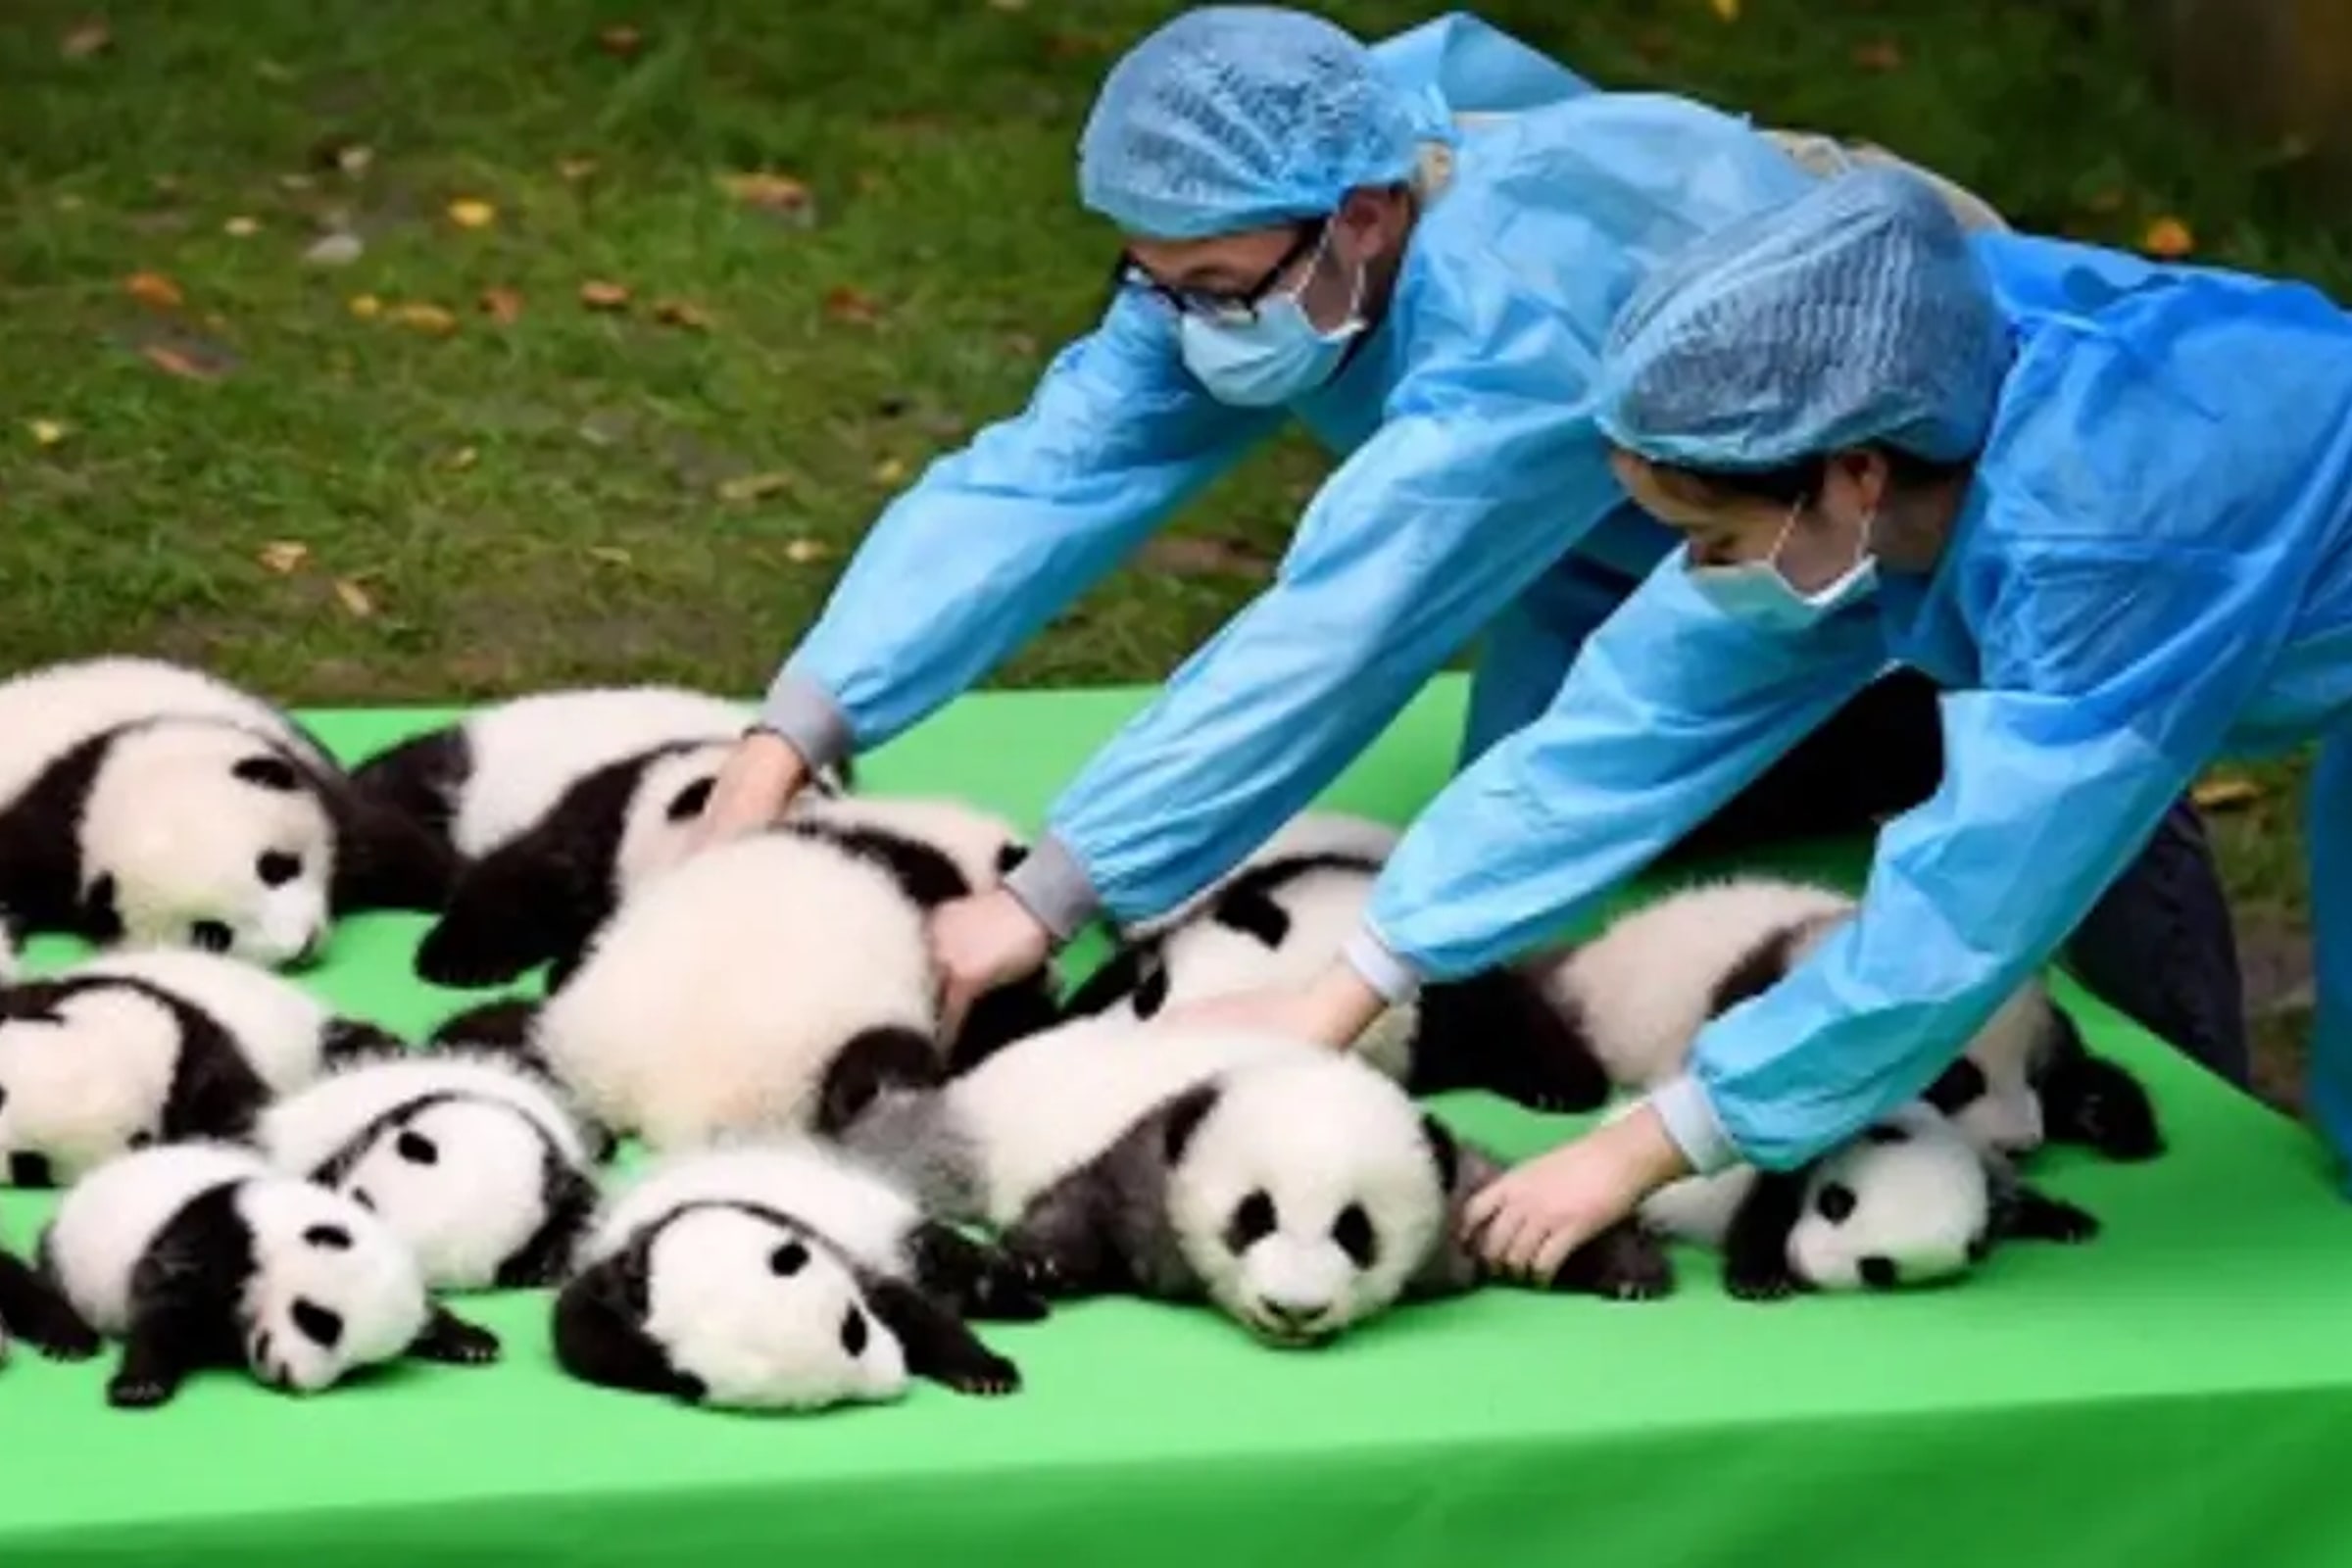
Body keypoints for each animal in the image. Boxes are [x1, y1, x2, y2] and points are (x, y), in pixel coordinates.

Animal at [38, 1141, 500, 1408]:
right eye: (320, 1321)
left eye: (356, 1368)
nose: (288, 1377)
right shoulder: (221, 1236)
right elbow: (164, 1306)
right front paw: (140, 1384)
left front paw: (471, 1342)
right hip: (66, 1255)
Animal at [431, 798, 1062, 1150]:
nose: (1052, 983)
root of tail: (667, 1102)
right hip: (821, 1055)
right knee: (876, 1074)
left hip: (570, 1032)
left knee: (501, 1028)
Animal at [552, 1141, 1044, 1411]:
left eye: (855, 1328)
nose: (896, 1368)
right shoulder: (620, 1277)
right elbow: (581, 1330)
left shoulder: (824, 1243)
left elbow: (910, 1308)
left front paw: (986, 1372)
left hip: (882, 1219)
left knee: (949, 1259)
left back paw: (1023, 1298)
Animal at [845, 1018, 1672, 1346]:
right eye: (1254, 1216)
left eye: (1355, 1231)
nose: (1293, 1311)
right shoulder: (1153, 1159)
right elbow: (1086, 1199)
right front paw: (1042, 1263)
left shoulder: (1449, 1204)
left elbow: (1498, 1198)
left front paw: (1627, 1268)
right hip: (971, 1136)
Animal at [1636, 1101, 2101, 1300]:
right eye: (1837, 1204)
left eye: (1877, 1268)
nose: (1799, 1263)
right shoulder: (1795, 1154)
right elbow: (1763, 1213)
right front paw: (1759, 1279)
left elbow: (2007, 1203)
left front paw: (2068, 1221)